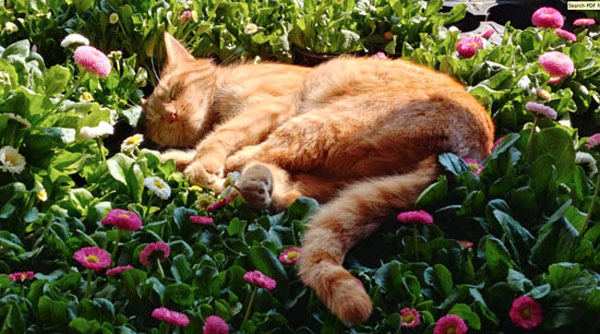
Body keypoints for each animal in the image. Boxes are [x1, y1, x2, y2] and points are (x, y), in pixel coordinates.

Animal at [144, 32, 492, 324]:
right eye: (156, 119)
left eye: (173, 92)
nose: (170, 115)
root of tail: (468, 156)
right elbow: (206, 144)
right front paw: (171, 157)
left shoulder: (267, 107)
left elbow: (221, 136)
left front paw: (198, 162)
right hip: (345, 165)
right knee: (291, 187)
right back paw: (253, 187)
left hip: (320, 122)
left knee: (251, 159)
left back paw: (235, 180)